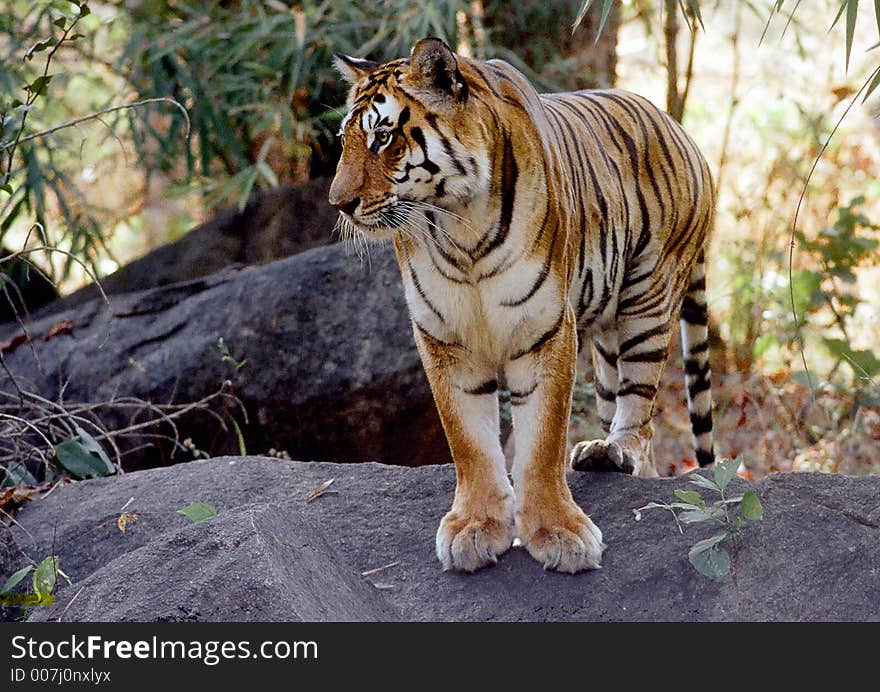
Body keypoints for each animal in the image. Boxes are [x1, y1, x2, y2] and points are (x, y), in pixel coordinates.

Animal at [330, 36, 716, 572]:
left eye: (383, 139)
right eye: (344, 140)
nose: (337, 203)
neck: (460, 228)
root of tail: (681, 128)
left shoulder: (545, 326)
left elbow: (542, 440)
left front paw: (558, 531)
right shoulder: (443, 336)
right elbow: (468, 440)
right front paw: (476, 527)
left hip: (649, 301)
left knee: (640, 409)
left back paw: (620, 451)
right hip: (606, 334)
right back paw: (602, 453)